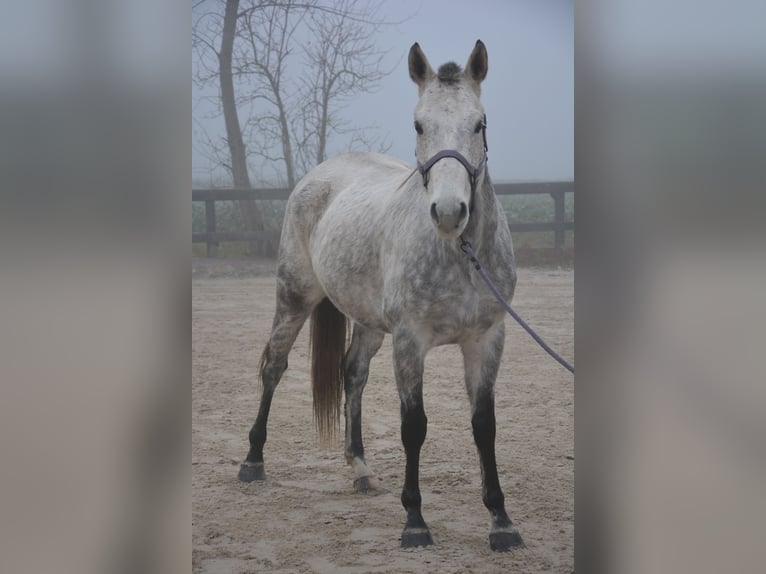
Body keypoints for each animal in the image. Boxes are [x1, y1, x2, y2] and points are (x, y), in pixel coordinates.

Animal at [237, 40, 524, 552]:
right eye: (418, 124)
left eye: (480, 123)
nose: (449, 212)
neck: (460, 256)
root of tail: (322, 173)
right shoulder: (410, 342)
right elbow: (414, 426)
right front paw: (415, 521)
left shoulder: (488, 339)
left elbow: (484, 427)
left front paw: (501, 521)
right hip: (294, 297)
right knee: (273, 366)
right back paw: (252, 461)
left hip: (369, 323)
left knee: (352, 374)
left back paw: (361, 469)